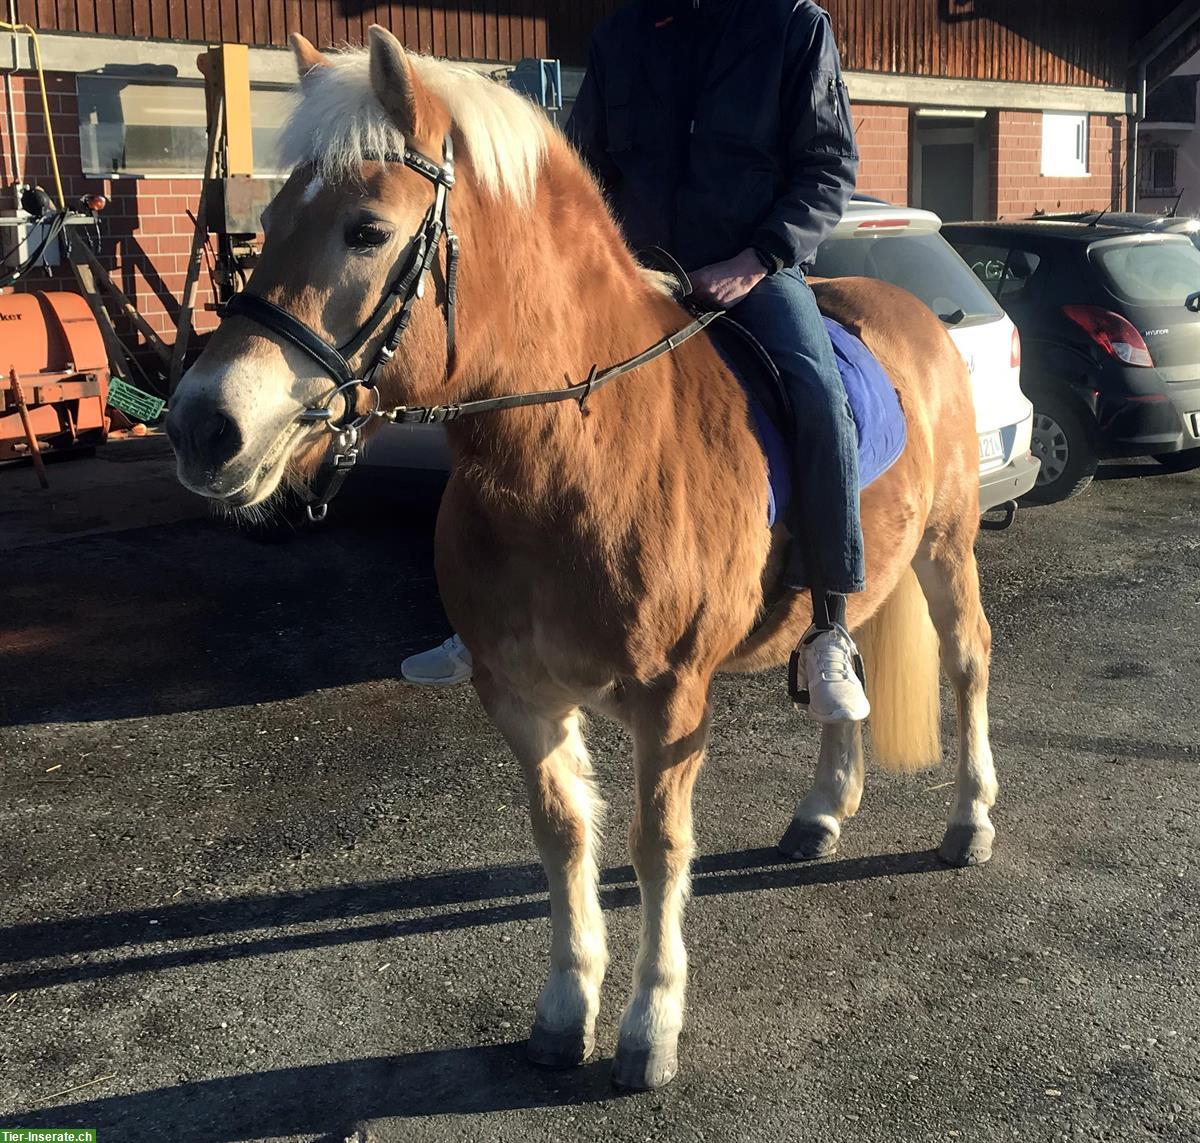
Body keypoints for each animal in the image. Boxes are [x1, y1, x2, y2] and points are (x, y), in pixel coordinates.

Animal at [166, 26, 998, 1091]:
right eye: (266, 220)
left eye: (365, 230)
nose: (202, 426)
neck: (579, 450)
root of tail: (913, 308)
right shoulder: (520, 695)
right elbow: (563, 838)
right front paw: (567, 1009)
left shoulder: (671, 697)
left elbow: (656, 846)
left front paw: (650, 1025)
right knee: (837, 661)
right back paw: (822, 809)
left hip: (946, 547)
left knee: (969, 662)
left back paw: (969, 822)